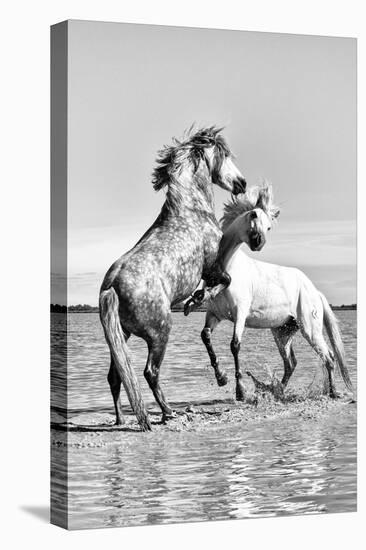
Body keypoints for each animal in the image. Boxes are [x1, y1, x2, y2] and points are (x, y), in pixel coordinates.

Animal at [187, 185, 354, 402]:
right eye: (253, 214)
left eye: (269, 227)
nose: (258, 242)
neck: (228, 270)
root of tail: (315, 292)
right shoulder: (214, 315)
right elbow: (205, 336)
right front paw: (221, 378)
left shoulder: (240, 314)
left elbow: (235, 345)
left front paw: (240, 391)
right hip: (282, 332)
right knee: (291, 363)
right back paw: (276, 390)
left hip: (310, 329)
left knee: (328, 356)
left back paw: (332, 392)